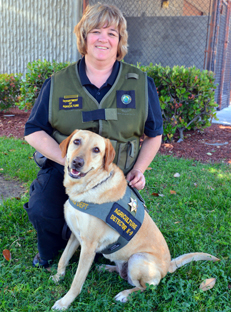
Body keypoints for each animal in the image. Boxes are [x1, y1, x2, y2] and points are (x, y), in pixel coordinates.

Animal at [51, 129, 219, 310]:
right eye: (76, 141)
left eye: (96, 150)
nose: (77, 162)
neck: (87, 189)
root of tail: (168, 266)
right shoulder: (75, 236)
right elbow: (63, 258)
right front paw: (58, 276)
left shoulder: (88, 246)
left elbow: (77, 281)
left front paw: (65, 302)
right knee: (122, 273)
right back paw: (106, 268)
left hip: (137, 259)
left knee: (144, 287)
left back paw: (125, 294)